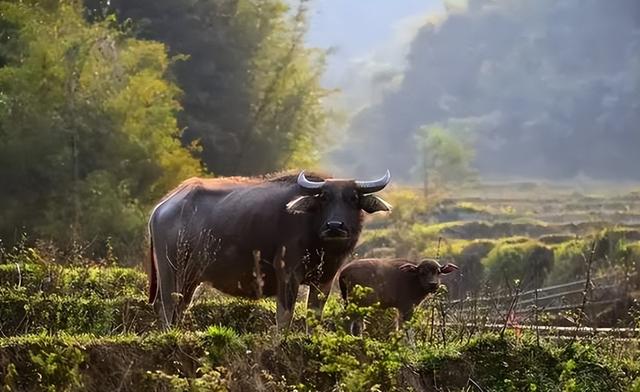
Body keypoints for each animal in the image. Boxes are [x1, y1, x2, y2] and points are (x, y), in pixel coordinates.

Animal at [148, 170, 392, 330]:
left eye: (353, 198)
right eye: (324, 197)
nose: (334, 226)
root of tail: (162, 207)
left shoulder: (325, 280)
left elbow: (314, 317)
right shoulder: (288, 274)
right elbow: (284, 316)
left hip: (191, 277)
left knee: (180, 306)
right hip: (170, 270)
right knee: (167, 304)